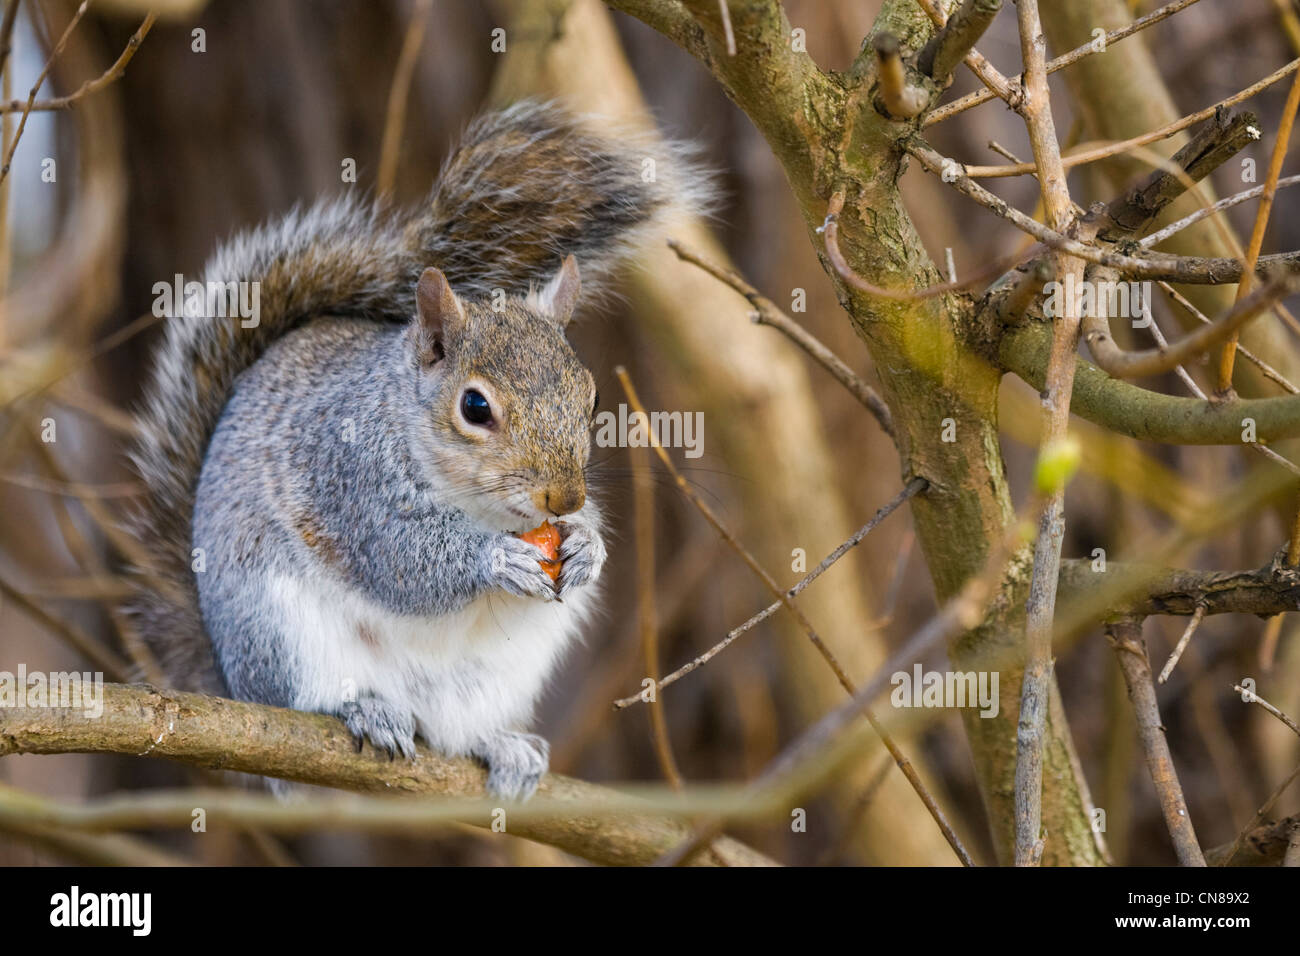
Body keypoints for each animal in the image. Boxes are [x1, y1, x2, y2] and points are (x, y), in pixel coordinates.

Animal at [124, 101, 710, 799]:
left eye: (591, 398)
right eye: (475, 407)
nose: (563, 498)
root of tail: (228, 677)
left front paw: (587, 545)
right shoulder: (348, 475)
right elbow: (401, 558)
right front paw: (494, 559)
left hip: (499, 673)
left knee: (455, 733)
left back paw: (503, 747)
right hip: (280, 631)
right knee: (308, 697)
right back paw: (366, 710)